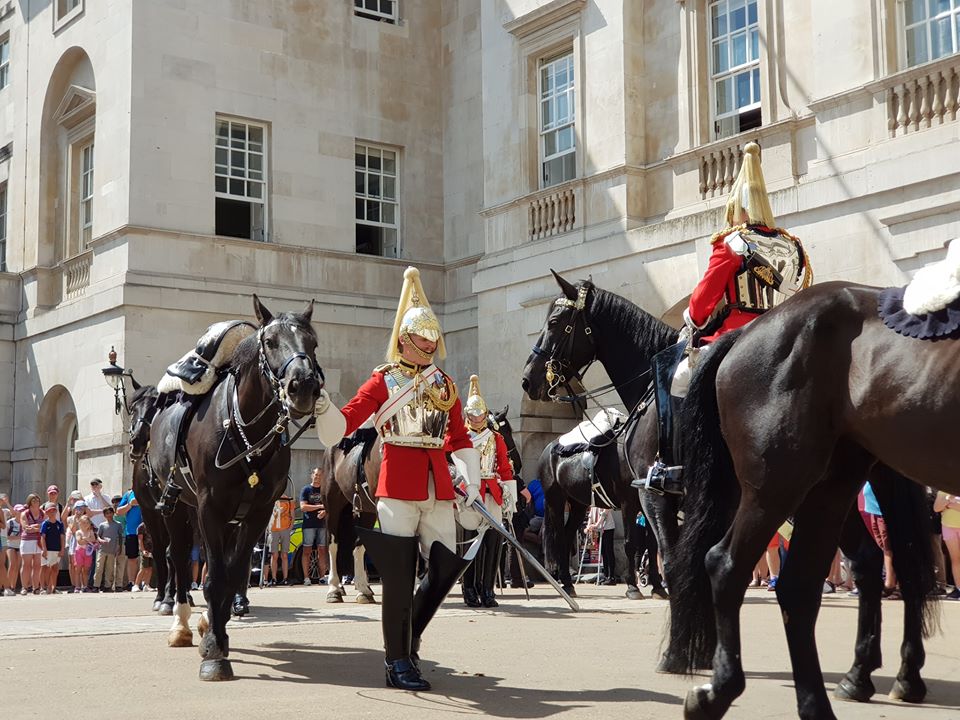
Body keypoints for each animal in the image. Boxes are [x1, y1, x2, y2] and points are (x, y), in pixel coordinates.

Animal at [144, 296, 320, 680]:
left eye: (313, 343)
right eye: (270, 342)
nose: (303, 386)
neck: (246, 434)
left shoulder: (257, 513)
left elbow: (234, 572)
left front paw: (217, 633)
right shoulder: (210, 507)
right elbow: (212, 578)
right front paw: (213, 653)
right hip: (177, 507)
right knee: (179, 558)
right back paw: (180, 623)